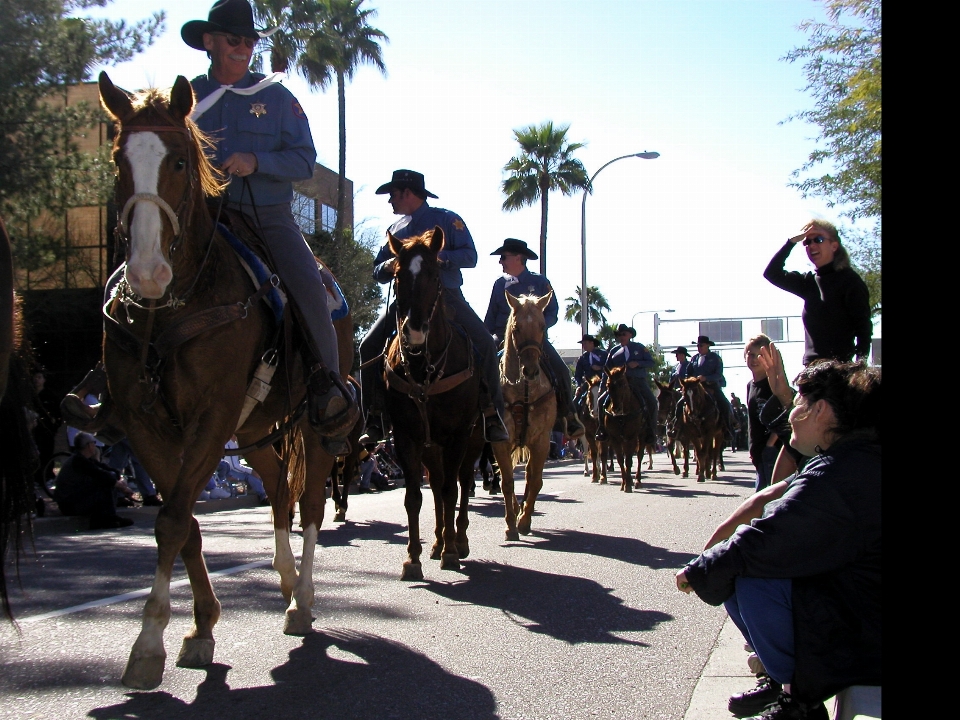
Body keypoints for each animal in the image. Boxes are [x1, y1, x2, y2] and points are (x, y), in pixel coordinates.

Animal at [97, 74, 344, 692]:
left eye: (181, 161)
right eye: (118, 161)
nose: (147, 272)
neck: (175, 305)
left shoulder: (210, 417)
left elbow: (171, 520)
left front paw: (148, 641)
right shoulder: (148, 425)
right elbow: (182, 523)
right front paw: (200, 627)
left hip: (315, 426)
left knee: (310, 503)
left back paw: (302, 599)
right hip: (256, 429)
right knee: (279, 488)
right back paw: (284, 580)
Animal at [376, 225, 480, 580]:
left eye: (435, 274)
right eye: (397, 275)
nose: (415, 331)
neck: (425, 369)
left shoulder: (458, 436)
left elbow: (451, 491)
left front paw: (451, 552)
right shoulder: (406, 437)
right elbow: (413, 496)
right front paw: (413, 558)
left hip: (471, 442)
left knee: (461, 483)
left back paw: (457, 542)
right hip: (432, 448)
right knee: (435, 485)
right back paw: (437, 542)